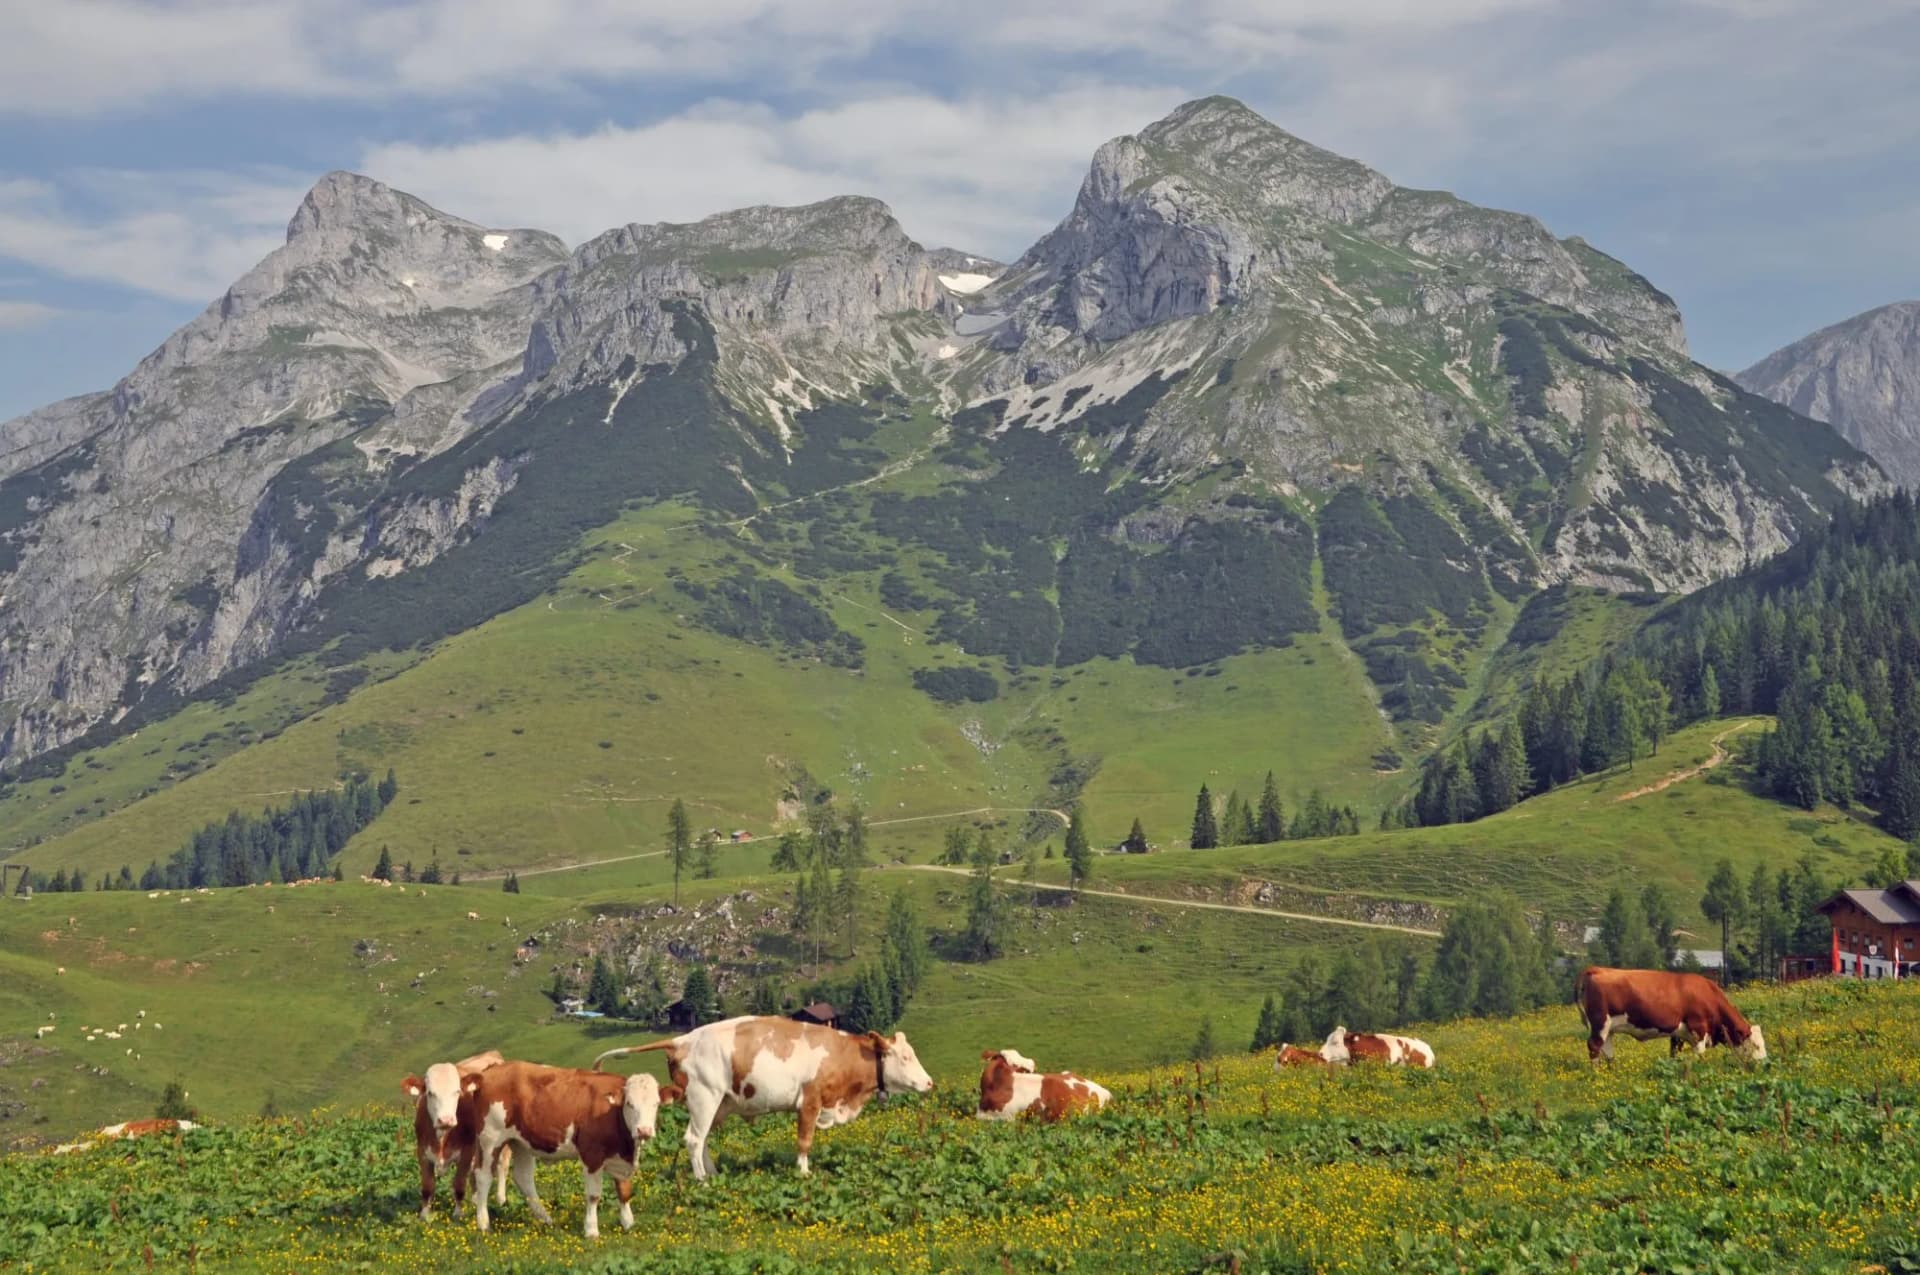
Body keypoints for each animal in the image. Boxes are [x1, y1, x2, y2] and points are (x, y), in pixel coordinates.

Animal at [401, 1049, 511, 1221]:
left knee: (502, 1165)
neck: (441, 1138)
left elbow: (459, 1184)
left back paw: (501, 1198)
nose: (446, 1119)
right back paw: (476, 1198)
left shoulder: (467, 1150)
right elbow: (427, 1186)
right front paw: (424, 1215)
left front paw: (458, 1213)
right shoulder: (422, 1151)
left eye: (457, 1092)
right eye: (430, 1093)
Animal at [464, 1060, 675, 1237]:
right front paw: (591, 1230)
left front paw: (628, 1223)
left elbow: (624, 1190)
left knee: (523, 1178)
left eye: (656, 1104)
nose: (644, 1130)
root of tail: (491, 1070)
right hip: (490, 1139)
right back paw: (484, 1224)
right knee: (483, 1176)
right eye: (630, 1104)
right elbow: (593, 1195)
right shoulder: (592, 1154)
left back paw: (545, 1218)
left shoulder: (622, 1159)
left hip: (521, 1142)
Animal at [593, 1015, 934, 1181]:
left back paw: (714, 1173)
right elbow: (804, 1141)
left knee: (703, 1140)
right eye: (905, 1057)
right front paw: (803, 1172)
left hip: (717, 1104)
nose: (929, 1082)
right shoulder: (809, 1101)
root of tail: (684, 1039)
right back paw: (702, 1180)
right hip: (704, 1097)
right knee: (693, 1139)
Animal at [1577, 966, 1767, 1063]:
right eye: (1756, 1045)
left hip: (1608, 1028)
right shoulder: (1699, 1028)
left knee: (1608, 1051)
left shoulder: (1678, 1033)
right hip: (1600, 1023)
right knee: (1594, 1047)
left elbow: (1674, 1052)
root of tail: (1596, 969)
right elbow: (1700, 1053)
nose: (1764, 1063)